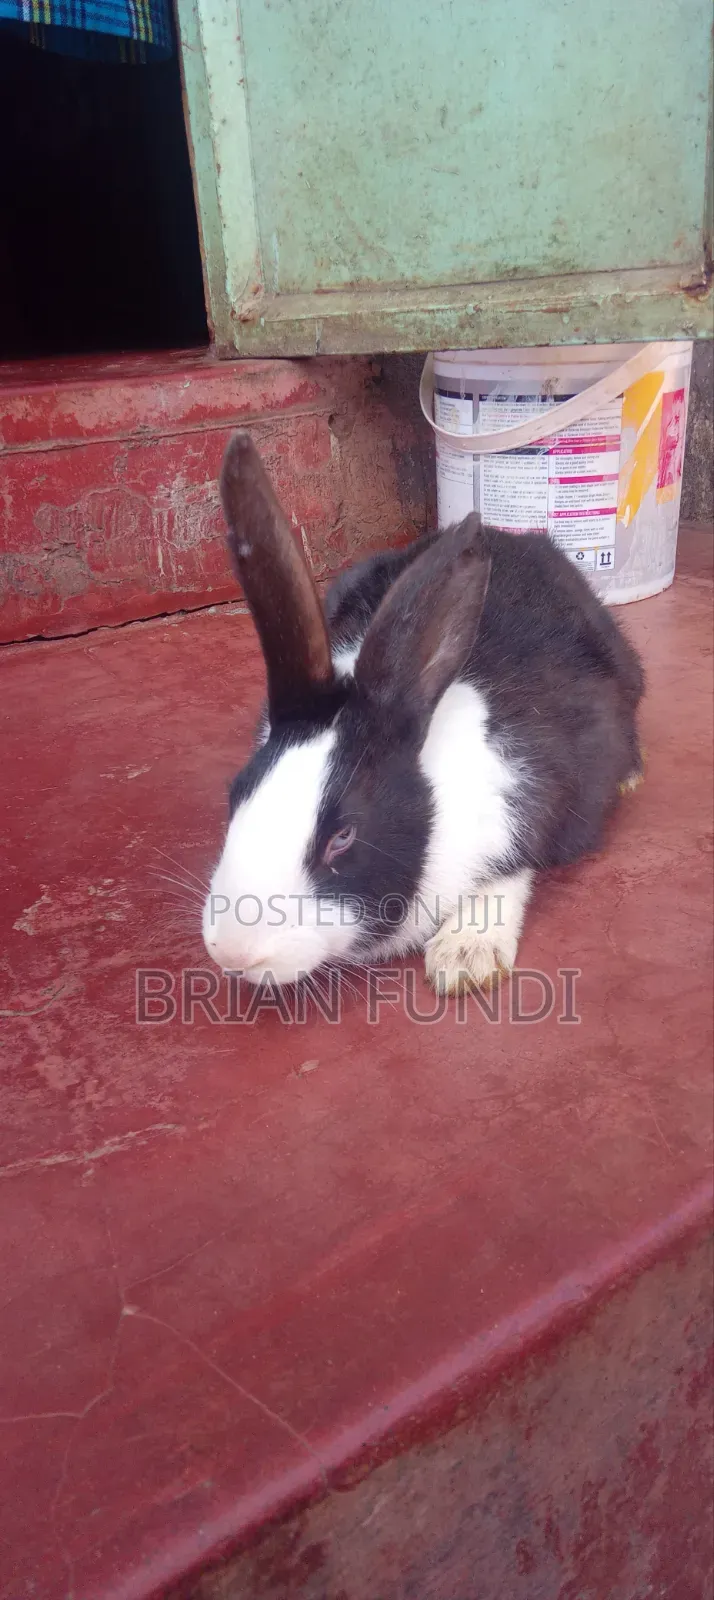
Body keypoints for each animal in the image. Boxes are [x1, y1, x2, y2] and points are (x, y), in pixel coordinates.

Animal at [202, 431, 644, 994]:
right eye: (236, 794)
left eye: (342, 837)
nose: (233, 952)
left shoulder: (547, 796)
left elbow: (511, 870)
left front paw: (464, 958)